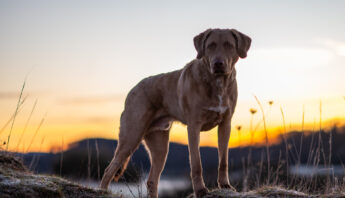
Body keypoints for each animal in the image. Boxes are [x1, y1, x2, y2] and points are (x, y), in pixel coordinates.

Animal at [99, 28, 250, 198]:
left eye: (228, 45)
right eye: (211, 45)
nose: (218, 64)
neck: (217, 83)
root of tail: (132, 90)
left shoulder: (225, 124)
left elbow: (223, 160)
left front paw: (225, 185)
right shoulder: (194, 127)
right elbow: (196, 163)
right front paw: (200, 190)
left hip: (160, 146)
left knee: (152, 180)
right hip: (131, 136)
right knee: (109, 169)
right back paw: (102, 191)